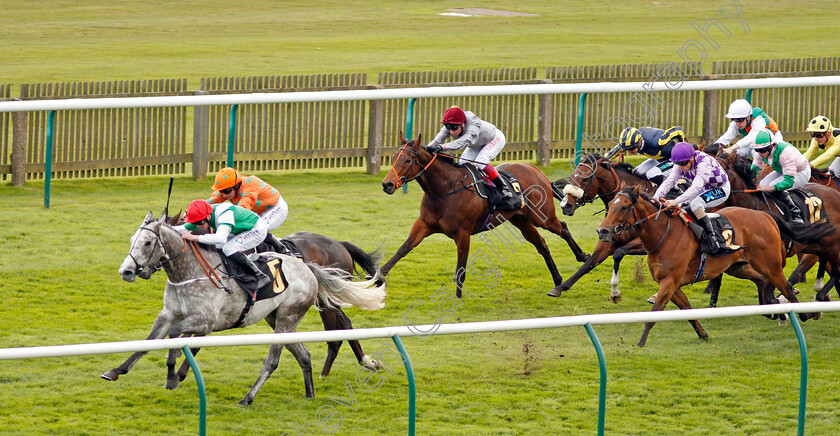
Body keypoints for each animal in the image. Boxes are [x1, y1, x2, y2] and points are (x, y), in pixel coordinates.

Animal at [110, 211, 388, 406]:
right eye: (133, 240)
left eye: (147, 243)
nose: (126, 271)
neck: (189, 272)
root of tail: (309, 268)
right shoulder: (168, 314)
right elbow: (149, 342)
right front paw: (116, 370)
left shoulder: (205, 320)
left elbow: (176, 337)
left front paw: (172, 375)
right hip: (279, 319)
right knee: (304, 353)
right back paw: (310, 393)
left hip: (289, 316)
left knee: (275, 359)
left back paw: (248, 398)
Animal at [382, 133, 592, 296]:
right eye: (393, 158)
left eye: (407, 160)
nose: (387, 184)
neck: (445, 189)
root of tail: (536, 169)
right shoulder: (424, 225)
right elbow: (402, 250)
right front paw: (378, 277)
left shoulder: (463, 233)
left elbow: (460, 269)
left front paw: (457, 300)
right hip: (521, 220)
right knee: (542, 245)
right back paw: (557, 280)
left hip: (543, 217)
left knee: (563, 228)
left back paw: (582, 257)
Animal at [592, 185, 832, 348]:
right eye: (610, 205)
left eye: (624, 207)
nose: (602, 231)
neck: (664, 235)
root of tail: (765, 214)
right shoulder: (672, 285)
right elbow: (687, 311)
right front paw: (703, 334)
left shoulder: (669, 282)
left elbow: (654, 313)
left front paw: (641, 343)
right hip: (737, 266)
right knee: (762, 281)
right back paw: (774, 311)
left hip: (771, 265)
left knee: (787, 288)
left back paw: (803, 314)